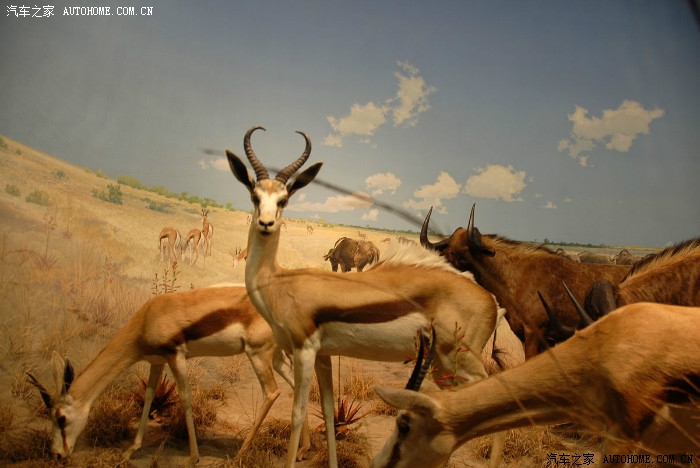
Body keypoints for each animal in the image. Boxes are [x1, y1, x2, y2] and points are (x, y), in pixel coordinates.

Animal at [27, 285, 310, 467]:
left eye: (61, 418)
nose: (58, 455)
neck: (148, 317)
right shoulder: (157, 361)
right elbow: (149, 398)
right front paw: (130, 451)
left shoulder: (176, 356)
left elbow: (185, 399)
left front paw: (193, 458)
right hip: (276, 357)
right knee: (296, 387)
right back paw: (303, 451)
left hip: (258, 354)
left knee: (272, 392)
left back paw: (239, 455)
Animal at [226, 126, 507, 468]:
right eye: (255, 196)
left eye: (284, 199)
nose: (266, 224)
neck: (279, 281)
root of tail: (491, 300)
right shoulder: (323, 356)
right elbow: (329, 415)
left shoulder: (304, 351)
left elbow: (298, 414)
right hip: (443, 367)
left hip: (463, 360)